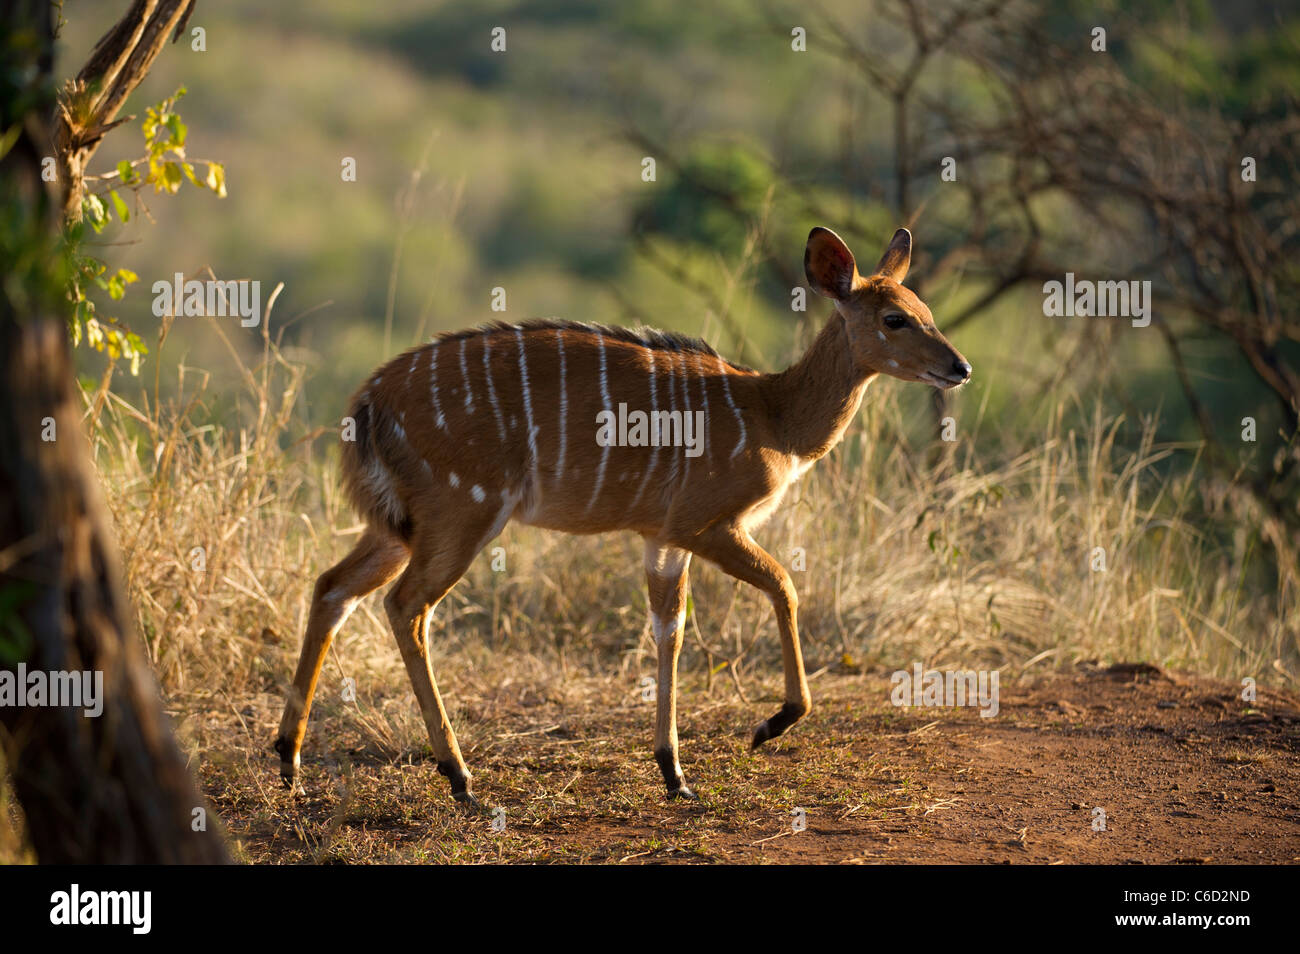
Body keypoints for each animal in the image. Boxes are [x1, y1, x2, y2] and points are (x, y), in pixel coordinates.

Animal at [276, 227, 967, 805]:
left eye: (927, 313)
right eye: (895, 318)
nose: (958, 368)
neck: (774, 417)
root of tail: (369, 402)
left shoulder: (660, 539)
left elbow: (669, 630)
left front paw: (675, 774)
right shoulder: (705, 525)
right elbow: (785, 586)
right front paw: (769, 725)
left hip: (398, 527)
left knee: (333, 587)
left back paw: (289, 760)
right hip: (462, 514)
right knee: (406, 606)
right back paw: (460, 777)